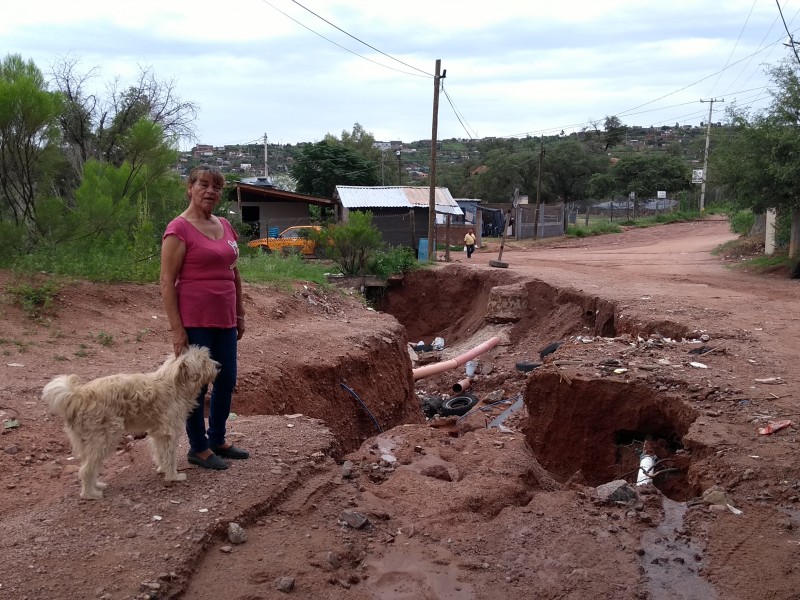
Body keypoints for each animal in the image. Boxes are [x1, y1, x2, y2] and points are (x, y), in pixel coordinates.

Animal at [41, 344, 219, 500]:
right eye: (203, 361)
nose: (219, 365)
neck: (176, 384)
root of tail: (77, 395)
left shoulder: (157, 433)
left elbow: (160, 453)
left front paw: (162, 470)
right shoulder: (168, 433)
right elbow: (169, 455)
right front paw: (173, 476)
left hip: (89, 442)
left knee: (89, 466)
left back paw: (96, 485)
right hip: (104, 438)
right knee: (85, 470)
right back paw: (90, 494)